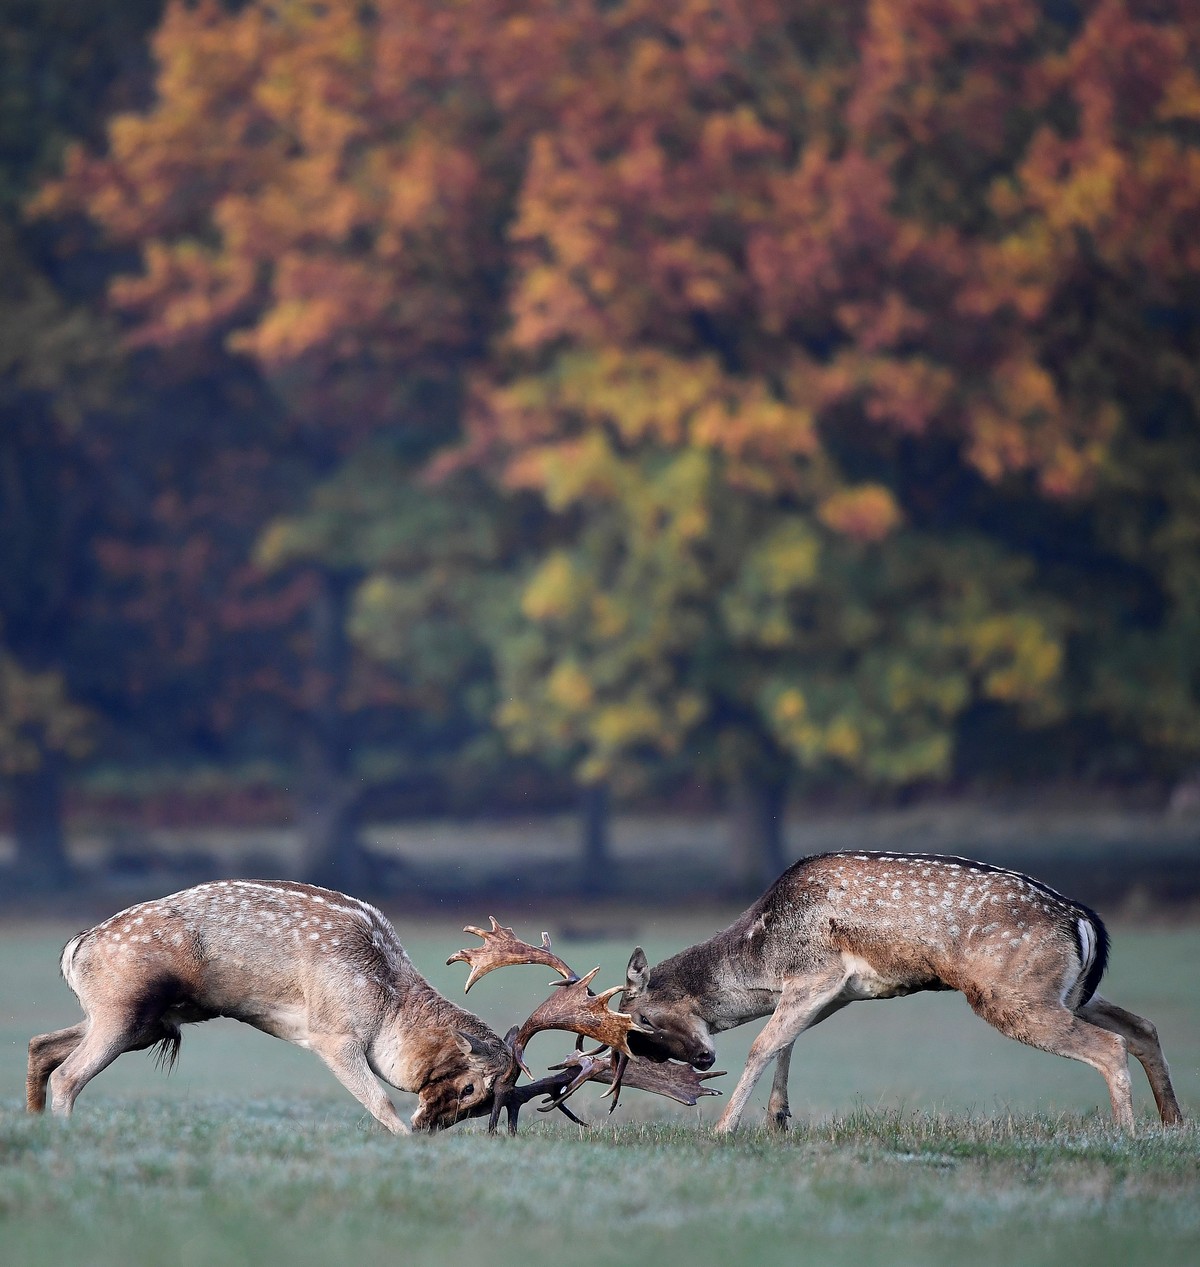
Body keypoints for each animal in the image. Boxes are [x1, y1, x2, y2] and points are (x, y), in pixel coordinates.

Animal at [28, 881, 719, 1130]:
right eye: (475, 1090)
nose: (431, 1127)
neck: (386, 997)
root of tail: (74, 948)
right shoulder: (333, 1036)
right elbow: (382, 1102)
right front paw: (401, 1135)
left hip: (141, 1024)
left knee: (42, 1046)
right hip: (123, 1008)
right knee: (68, 1073)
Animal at [623, 856, 1186, 1135]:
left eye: (644, 1021)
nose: (700, 1060)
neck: (765, 958)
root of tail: (1083, 919)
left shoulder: (819, 974)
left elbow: (763, 1044)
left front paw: (723, 1130)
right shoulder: (838, 990)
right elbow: (787, 1042)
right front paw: (777, 1118)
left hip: (1014, 994)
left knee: (1110, 1045)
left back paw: (1126, 1135)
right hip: (1065, 991)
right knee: (1144, 1027)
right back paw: (1173, 1126)